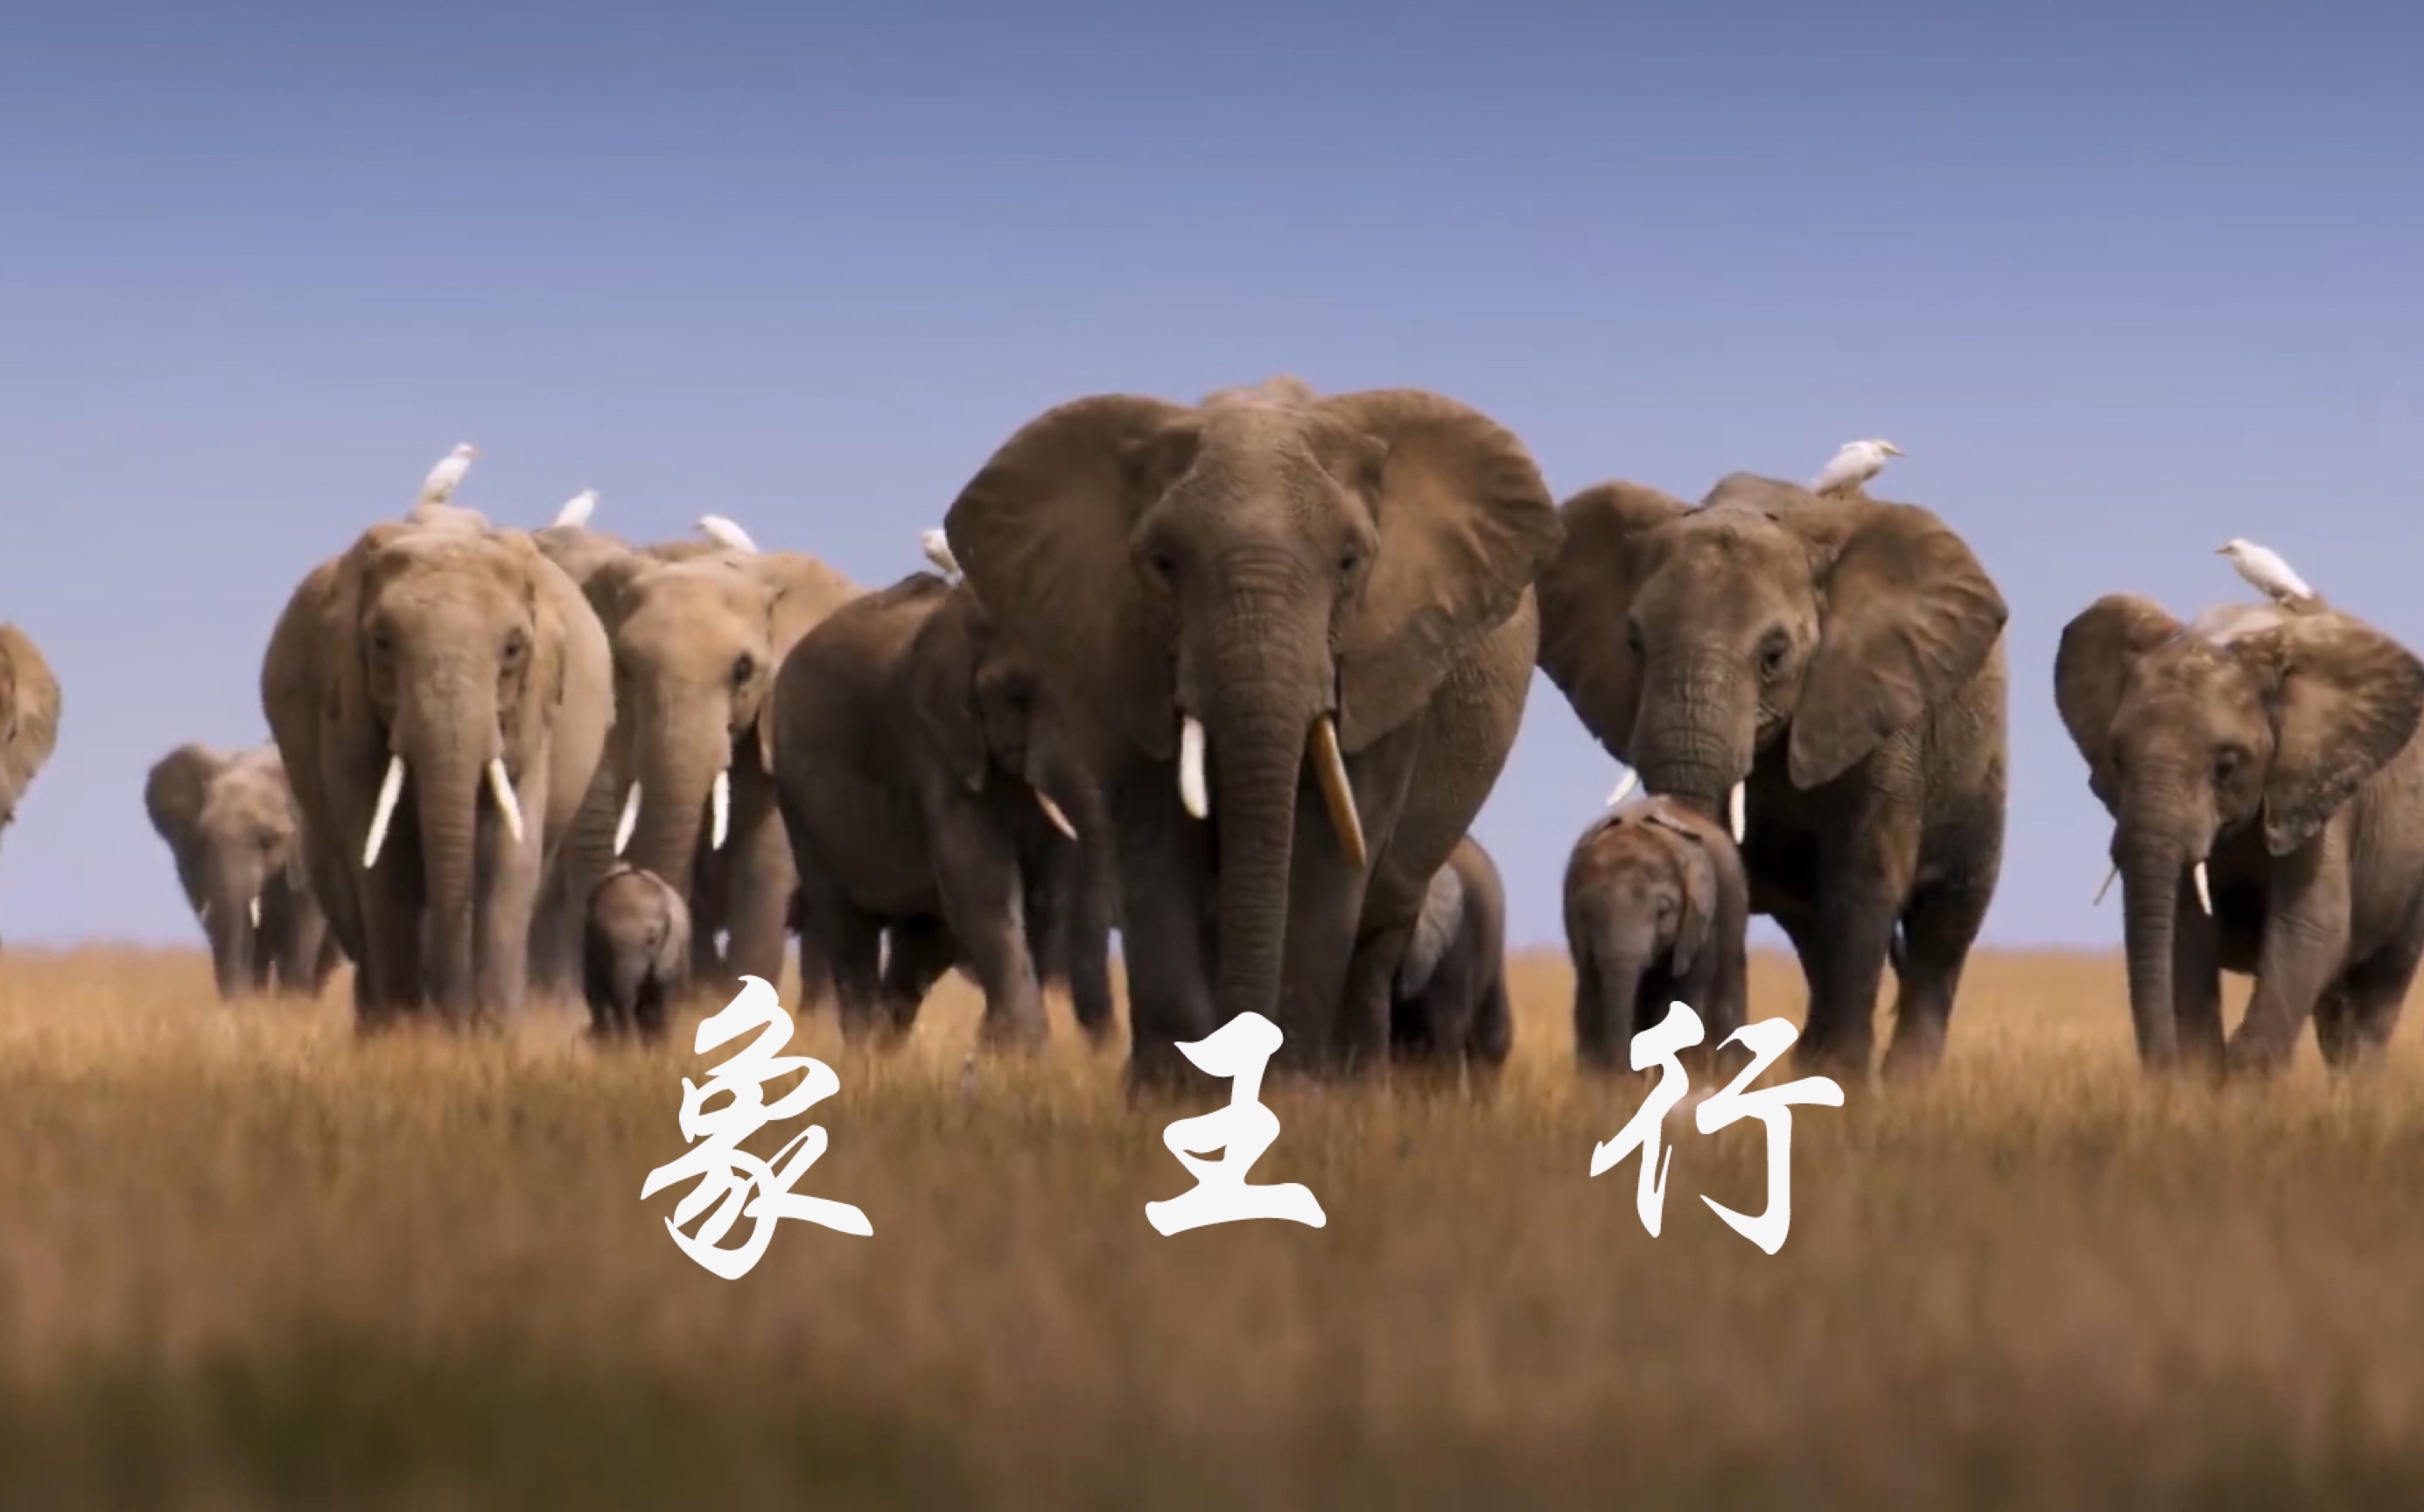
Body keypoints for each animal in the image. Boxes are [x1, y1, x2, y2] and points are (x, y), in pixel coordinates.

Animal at [260, 504, 614, 1028]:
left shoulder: (532, 714)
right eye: (382, 643)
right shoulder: (343, 705)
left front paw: (492, 1036)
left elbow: (509, 853)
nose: (454, 1018)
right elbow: (381, 854)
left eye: (513, 649)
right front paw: (407, 1035)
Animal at [772, 571, 1117, 1047]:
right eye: (1016, 696)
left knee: (921, 948)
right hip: (797, 800)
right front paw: (1024, 1051)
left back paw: (885, 1051)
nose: (1103, 1046)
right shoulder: (935, 744)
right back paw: (863, 1054)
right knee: (848, 930)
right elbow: (982, 886)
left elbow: (1054, 886)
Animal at [2055, 595, 2424, 1074]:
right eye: (2116, 758)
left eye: (2227, 765)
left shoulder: (2317, 793)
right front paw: (2201, 1076)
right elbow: (2186, 931)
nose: (2161, 1069)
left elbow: (2308, 929)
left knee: (2375, 997)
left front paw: (2239, 1077)